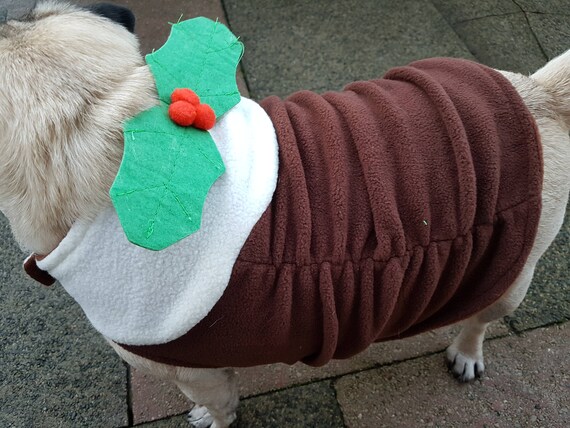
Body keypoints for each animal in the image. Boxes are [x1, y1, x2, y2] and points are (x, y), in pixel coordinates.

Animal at [1, 0, 568, 428]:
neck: (103, 116)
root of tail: (537, 94)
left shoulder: (189, 370)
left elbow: (219, 402)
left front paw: (213, 420)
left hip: (506, 274)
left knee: (480, 319)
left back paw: (467, 353)